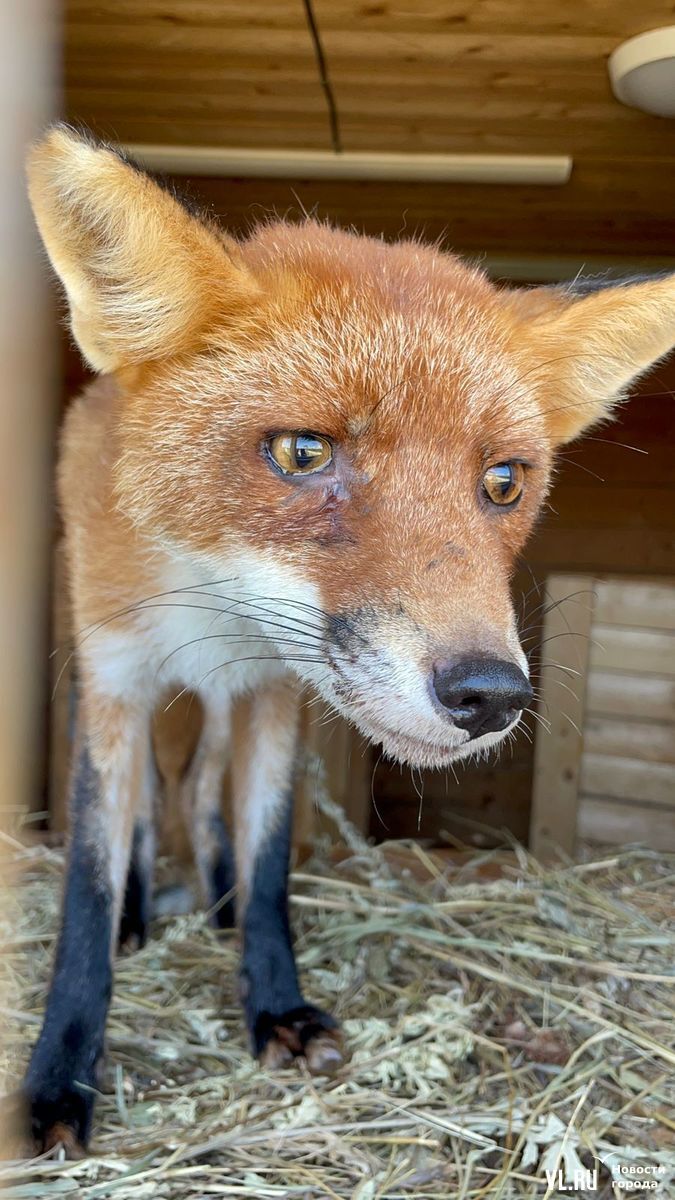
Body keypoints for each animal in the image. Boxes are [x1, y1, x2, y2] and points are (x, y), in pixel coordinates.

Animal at [18, 121, 672, 1152]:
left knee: (200, 798)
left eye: (502, 481)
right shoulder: (119, 681)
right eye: (303, 452)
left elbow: (267, 858)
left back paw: (216, 912)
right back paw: (142, 916)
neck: (214, 616)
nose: (489, 695)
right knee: (146, 813)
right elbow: (87, 877)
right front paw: (60, 1080)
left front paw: (273, 1001)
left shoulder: (272, 694)